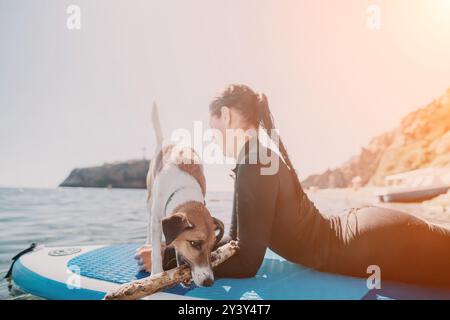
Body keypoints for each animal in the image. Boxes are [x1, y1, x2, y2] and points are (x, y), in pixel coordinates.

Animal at [145, 103, 224, 288]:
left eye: (212, 246)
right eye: (194, 243)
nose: (209, 282)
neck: (183, 188)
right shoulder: (157, 218)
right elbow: (156, 250)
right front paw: (156, 273)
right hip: (150, 196)